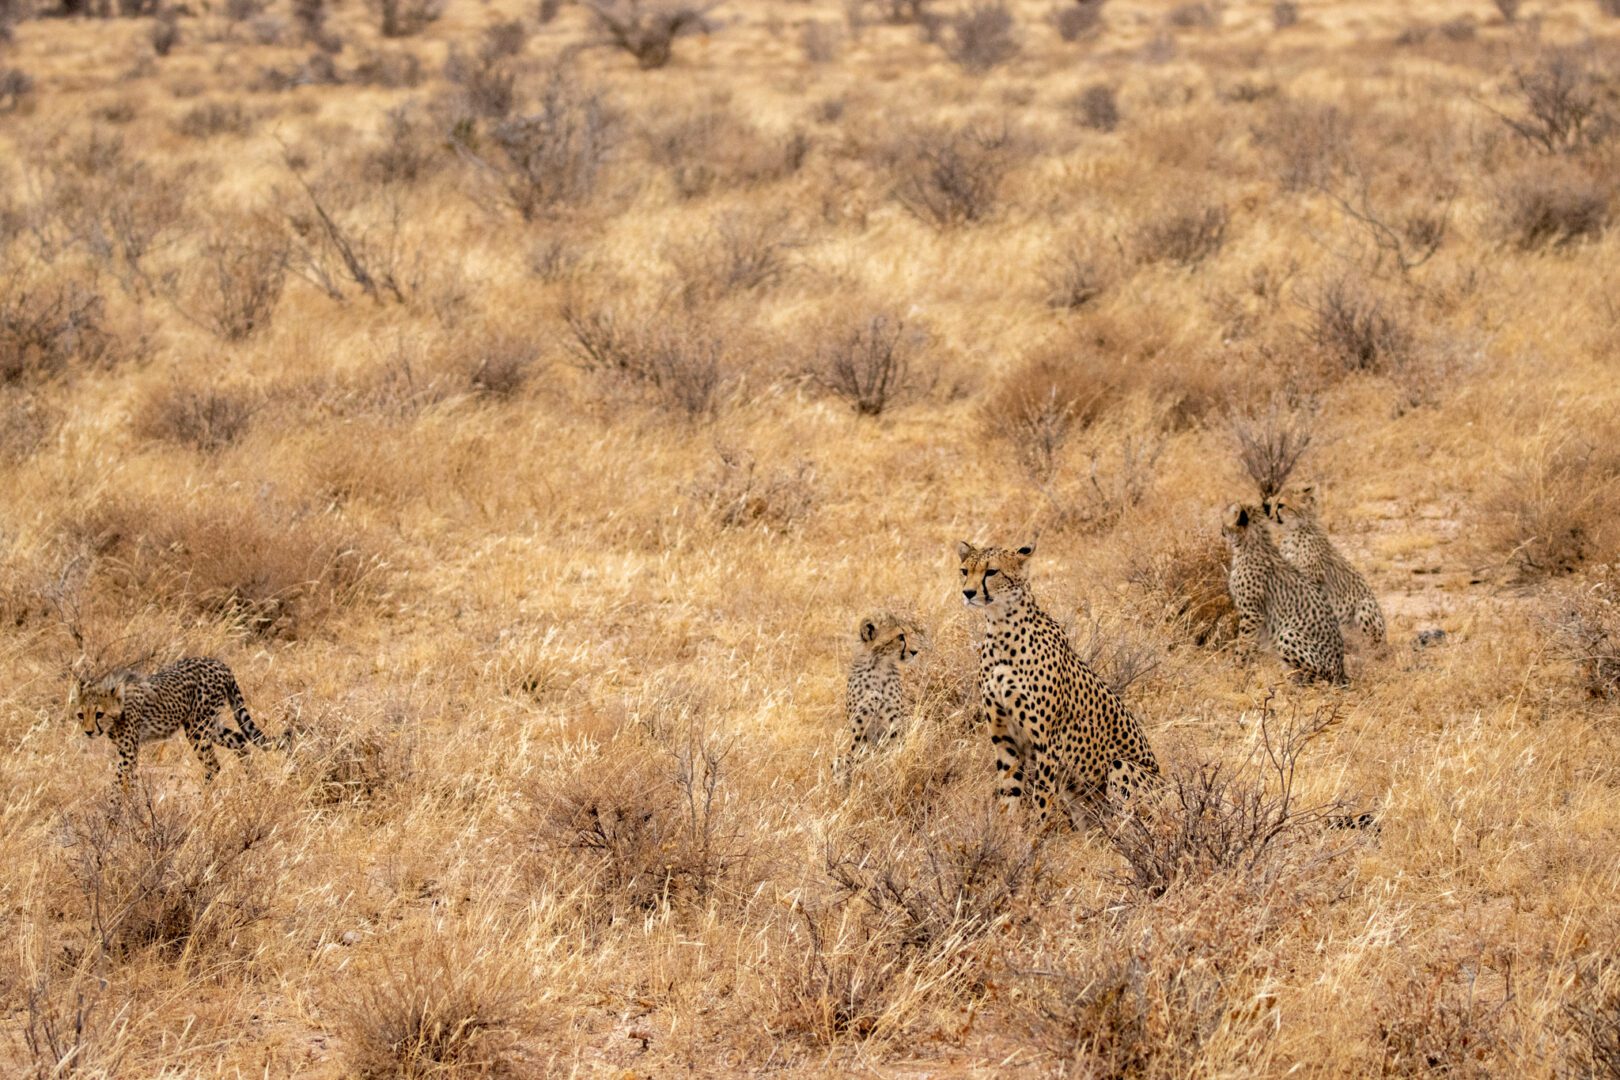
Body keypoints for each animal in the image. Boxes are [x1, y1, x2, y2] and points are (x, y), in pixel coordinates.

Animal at [72, 654, 288, 790]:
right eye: (81, 715)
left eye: (99, 714)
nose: (88, 732)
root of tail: (219, 663)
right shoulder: (128, 753)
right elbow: (128, 781)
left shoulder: (129, 752)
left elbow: (118, 783)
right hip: (209, 724)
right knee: (239, 739)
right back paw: (254, 780)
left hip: (197, 727)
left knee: (213, 765)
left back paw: (204, 798)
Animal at [842, 615, 920, 761]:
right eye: (901, 637)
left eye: (909, 633)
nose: (915, 652)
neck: (879, 666)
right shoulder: (859, 728)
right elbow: (863, 749)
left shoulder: (893, 724)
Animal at [952, 540, 1159, 829]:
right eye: (964, 571)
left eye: (991, 572)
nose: (968, 593)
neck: (1002, 628)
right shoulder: (1004, 738)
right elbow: (1009, 791)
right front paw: (1007, 832)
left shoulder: (1047, 744)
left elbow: (1041, 797)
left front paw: (1034, 836)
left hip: (1124, 768)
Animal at [1218, 508, 1347, 683]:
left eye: (1226, 521)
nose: (1221, 530)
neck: (1251, 544)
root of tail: (1341, 671)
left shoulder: (1252, 615)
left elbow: (1243, 644)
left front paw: (1236, 669)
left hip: (1288, 634)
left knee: (1319, 678)